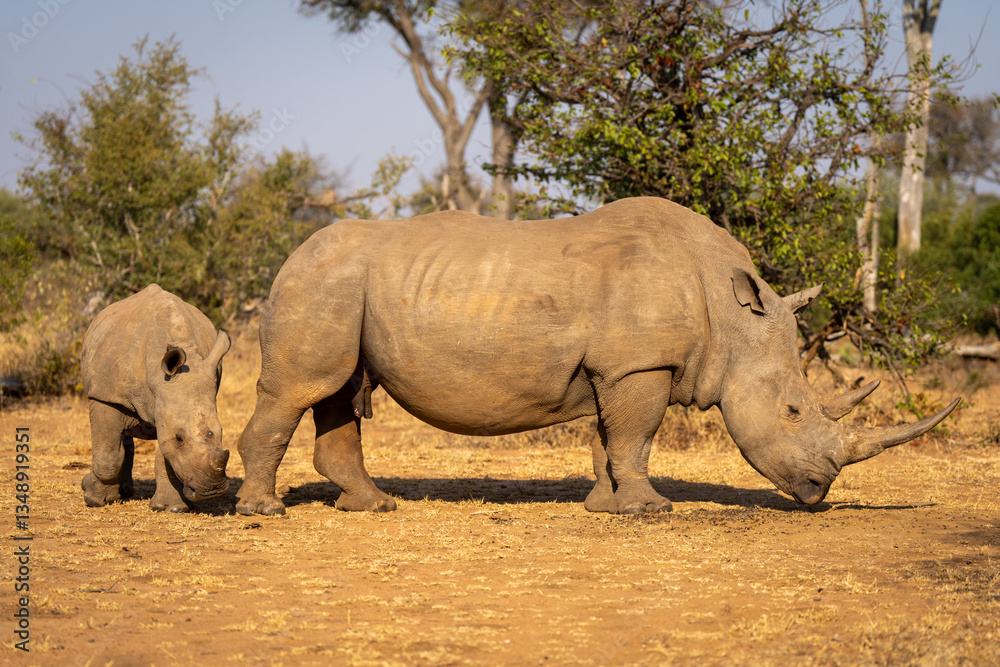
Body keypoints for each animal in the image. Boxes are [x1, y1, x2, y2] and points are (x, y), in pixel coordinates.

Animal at [81, 284, 232, 512]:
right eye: (180, 438)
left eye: (221, 432)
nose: (212, 490)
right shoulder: (106, 396)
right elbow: (107, 454)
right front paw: (96, 500)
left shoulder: (166, 403)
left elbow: (165, 454)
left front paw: (171, 508)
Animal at [235, 197, 958, 516]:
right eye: (793, 410)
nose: (819, 492)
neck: (731, 319)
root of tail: (290, 253)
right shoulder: (641, 365)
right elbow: (637, 435)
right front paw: (650, 510)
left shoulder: (619, 365)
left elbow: (610, 438)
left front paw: (605, 507)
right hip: (319, 280)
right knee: (303, 389)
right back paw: (265, 512)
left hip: (341, 283)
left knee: (336, 390)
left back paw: (373, 505)